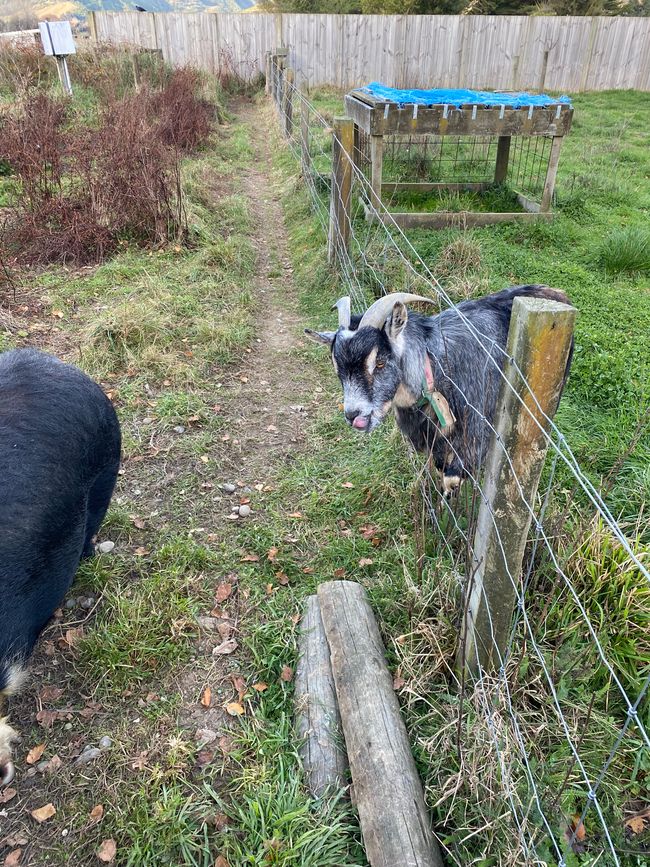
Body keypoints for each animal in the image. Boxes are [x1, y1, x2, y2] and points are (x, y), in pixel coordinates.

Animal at [306, 286, 568, 496]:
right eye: (337, 368)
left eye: (379, 362)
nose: (353, 415)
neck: (436, 368)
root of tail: (557, 294)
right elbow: (440, 464)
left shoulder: (477, 427)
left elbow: (452, 476)